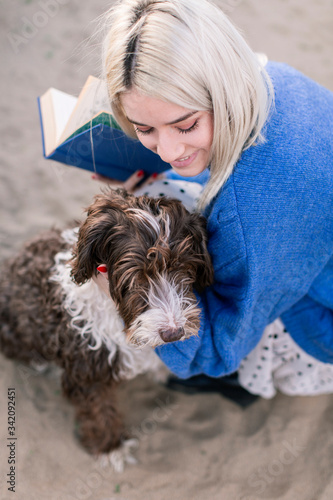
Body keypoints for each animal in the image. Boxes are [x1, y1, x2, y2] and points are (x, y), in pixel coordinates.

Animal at [0, 185, 213, 472]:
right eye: (135, 277)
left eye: (183, 267)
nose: (173, 333)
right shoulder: (87, 369)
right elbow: (98, 410)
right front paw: (111, 448)